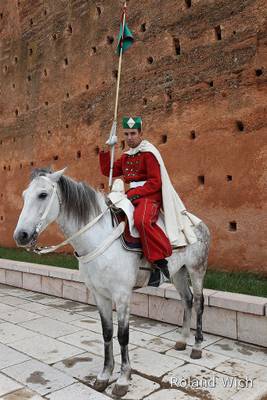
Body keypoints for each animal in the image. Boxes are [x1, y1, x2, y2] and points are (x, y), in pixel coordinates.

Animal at [13, 166, 211, 396]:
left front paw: (123, 379)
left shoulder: (122, 295)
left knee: (198, 303)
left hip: (197, 270)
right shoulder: (100, 295)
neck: (98, 239)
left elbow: (122, 335)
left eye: (43, 194)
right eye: (24, 196)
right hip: (177, 272)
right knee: (187, 300)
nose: (21, 235)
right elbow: (107, 333)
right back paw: (182, 340)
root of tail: (196, 222)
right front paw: (104, 375)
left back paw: (197, 346)